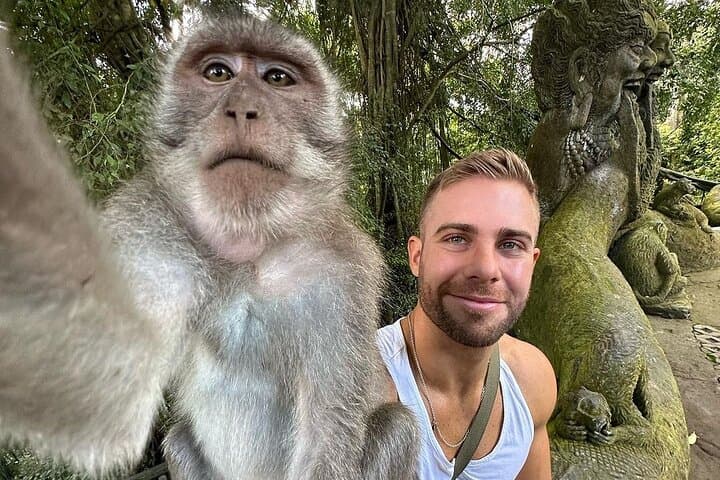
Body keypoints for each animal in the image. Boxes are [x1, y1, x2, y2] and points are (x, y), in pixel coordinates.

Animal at [0, 15, 418, 480]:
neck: (250, 250)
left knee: (397, 426)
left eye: (277, 78)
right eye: (218, 73)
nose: (242, 109)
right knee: (180, 440)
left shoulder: (343, 279)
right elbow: (103, 405)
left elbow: (327, 435)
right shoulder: (147, 231)